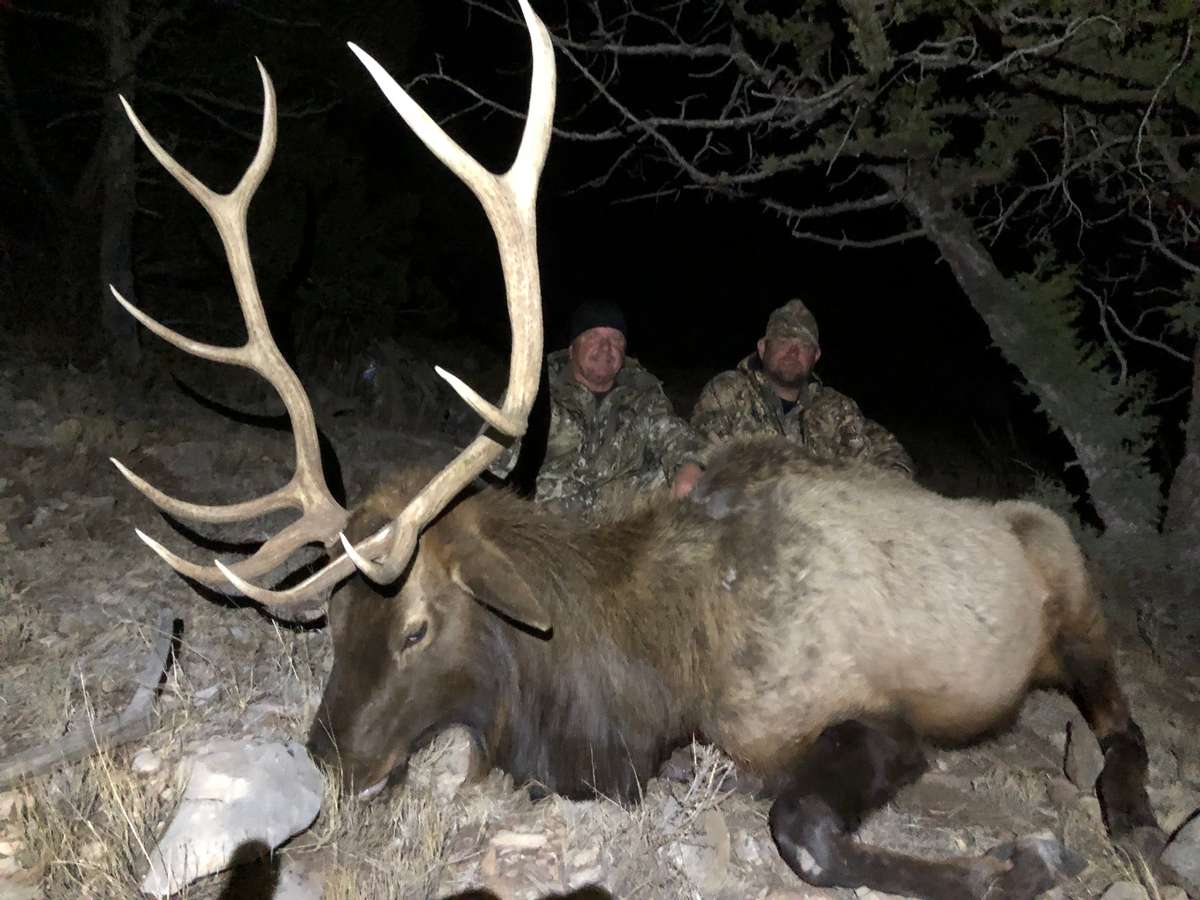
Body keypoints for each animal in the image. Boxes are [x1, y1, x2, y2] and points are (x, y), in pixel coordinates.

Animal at [108, 2, 1179, 898]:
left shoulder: (877, 714)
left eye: (416, 627)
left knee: (1124, 722)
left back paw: (1134, 824)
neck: (657, 668)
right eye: (332, 621)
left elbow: (803, 828)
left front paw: (1025, 857)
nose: (329, 761)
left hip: (1077, 607)